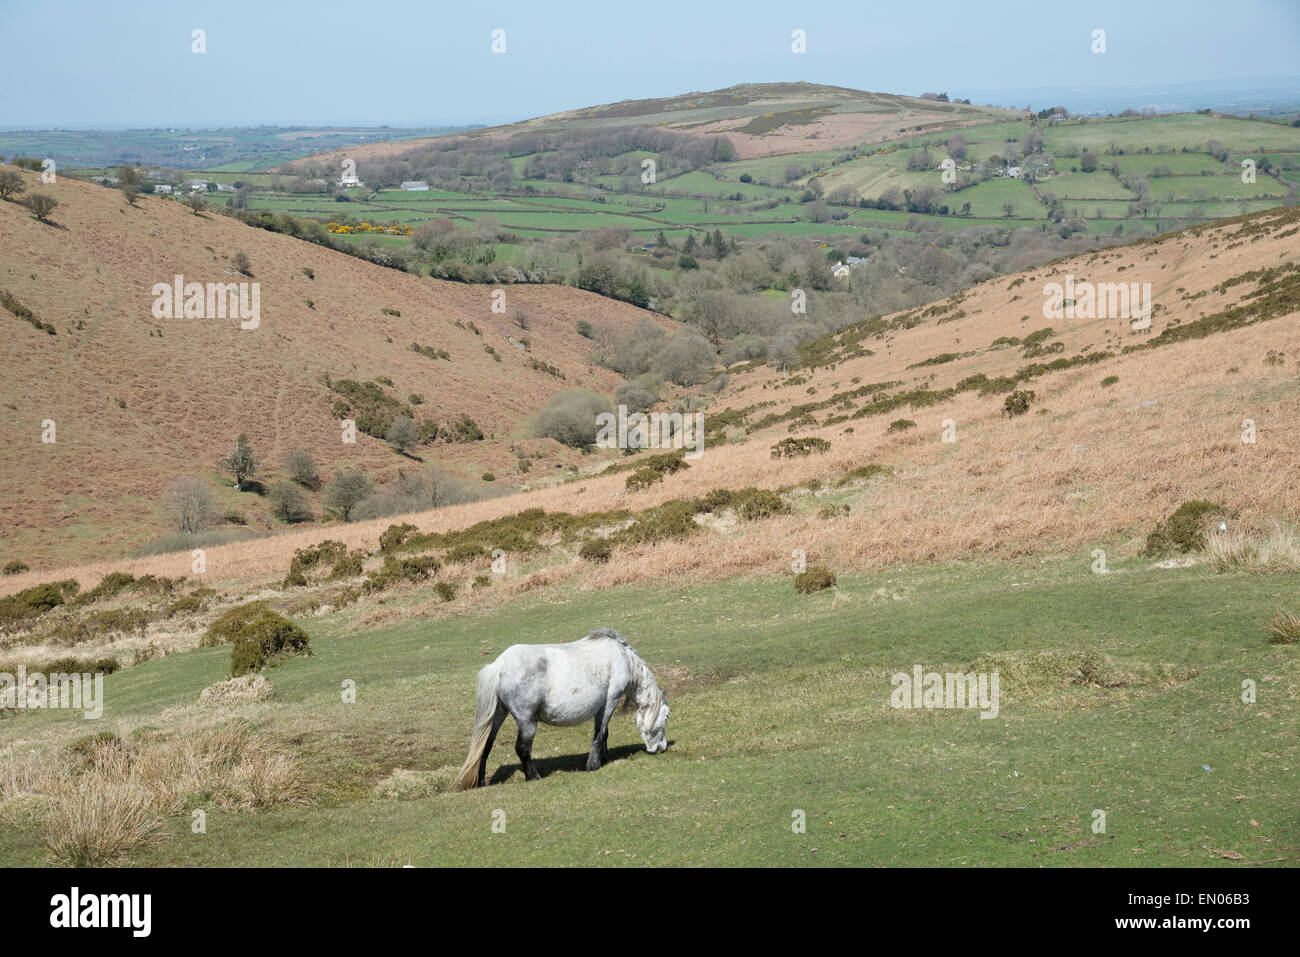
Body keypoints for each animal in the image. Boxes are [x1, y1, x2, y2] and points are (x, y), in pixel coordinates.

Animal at [452, 627, 669, 791]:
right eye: (667, 716)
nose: (662, 747)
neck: (622, 657)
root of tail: (498, 666)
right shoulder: (609, 702)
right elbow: (599, 734)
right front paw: (594, 765)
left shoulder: (602, 707)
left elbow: (604, 733)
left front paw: (604, 758)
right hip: (527, 721)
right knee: (522, 749)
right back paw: (534, 777)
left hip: (498, 716)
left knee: (485, 747)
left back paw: (482, 782)